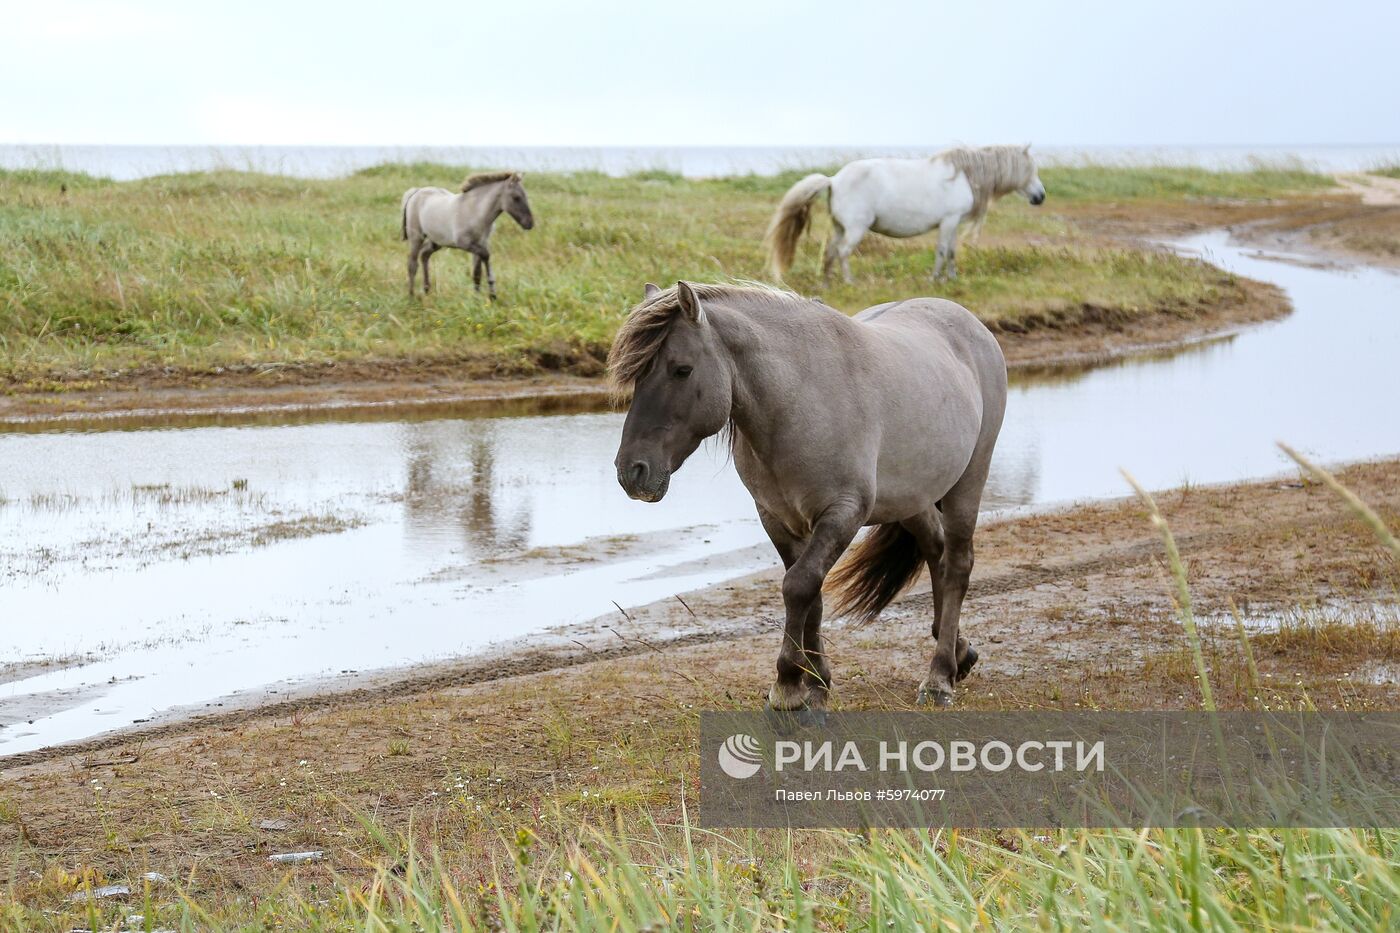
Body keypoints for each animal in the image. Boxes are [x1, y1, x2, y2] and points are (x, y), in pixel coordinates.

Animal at [408, 168, 537, 295]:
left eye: (525, 195)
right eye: (516, 197)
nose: (529, 223)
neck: (475, 211)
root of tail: (416, 191)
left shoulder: (481, 243)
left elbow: (477, 272)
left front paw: (479, 296)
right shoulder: (465, 243)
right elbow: (486, 255)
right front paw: (491, 292)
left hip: (436, 241)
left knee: (424, 255)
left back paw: (426, 289)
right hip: (417, 237)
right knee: (412, 264)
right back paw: (411, 295)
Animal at [613, 277, 1008, 706]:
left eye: (681, 370)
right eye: (637, 376)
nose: (631, 472)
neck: (799, 399)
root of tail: (969, 323)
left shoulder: (842, 513)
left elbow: (799, 586)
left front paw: (787, 684)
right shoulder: (777, 518)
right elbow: (810, 593)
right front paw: (817, 681)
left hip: (969, 480)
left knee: (958, 565)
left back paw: (939, 677)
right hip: (912, 497)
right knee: (935, 551)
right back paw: (958, 652)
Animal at [761, 143, 1047, 281]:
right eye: (1030, 168)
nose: (1040, 196)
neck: (963, 175)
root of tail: (834, 179)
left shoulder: (953, 223)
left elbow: (952, 251)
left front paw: (952, 278)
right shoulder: (949, 221)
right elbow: (942, 250)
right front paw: (935, 280)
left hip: (840, 228)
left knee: (831, 252)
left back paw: (827, 283)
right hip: (855, 229)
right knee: (842, 252)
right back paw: (850, 282)